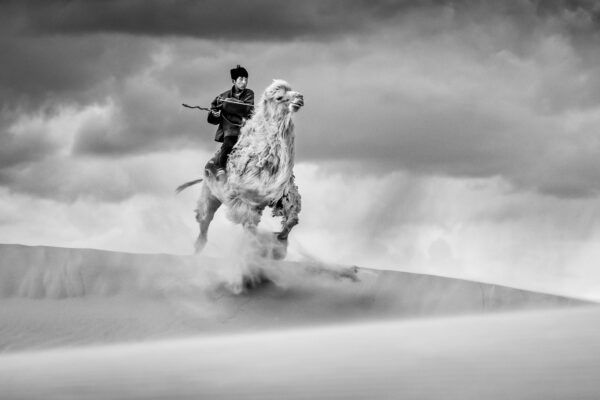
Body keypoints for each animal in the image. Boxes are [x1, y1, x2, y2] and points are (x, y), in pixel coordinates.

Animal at [176, 79, 302, 260]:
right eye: (279, 97)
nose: (300, 98)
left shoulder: (282, 197)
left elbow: (291, 220)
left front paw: (279, 242)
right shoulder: (244, 200)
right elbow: (250, 229)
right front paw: (260, 251)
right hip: (210, 195)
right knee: (204, 221)